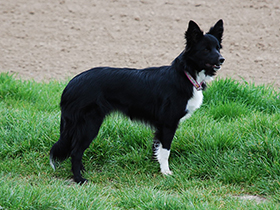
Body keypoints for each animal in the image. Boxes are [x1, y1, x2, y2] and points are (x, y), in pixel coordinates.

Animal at [50, 19, 225, 184]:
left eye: (218, 48)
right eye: (206, 49)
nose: (222, 59)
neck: (186, 74)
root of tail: (70, 86)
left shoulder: (160, 126)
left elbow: (158, 148)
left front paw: (158, 166)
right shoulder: (168, 123)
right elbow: (166, 150)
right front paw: (166, 173)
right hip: (89, 124)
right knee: (75, 152)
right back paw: (79, 179)